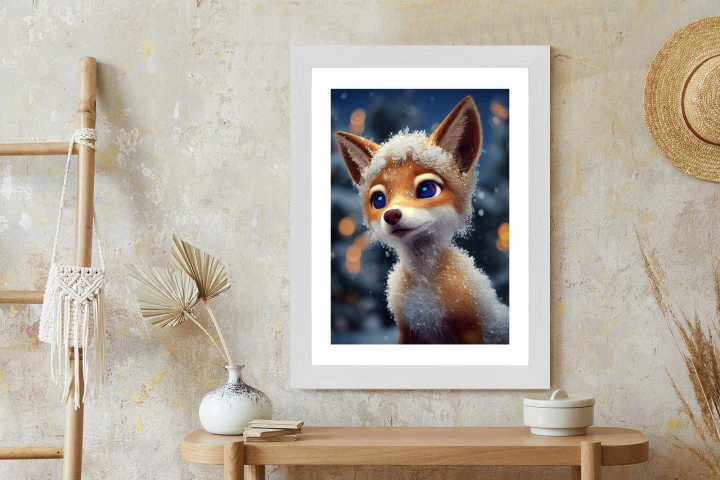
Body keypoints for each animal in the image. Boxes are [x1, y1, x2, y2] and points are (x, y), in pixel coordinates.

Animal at [335, 96, 509, 344]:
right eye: (378, 200)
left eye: (427, 189)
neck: (423, 287)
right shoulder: (408, 330)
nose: (391, 215)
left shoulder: (468, 328)